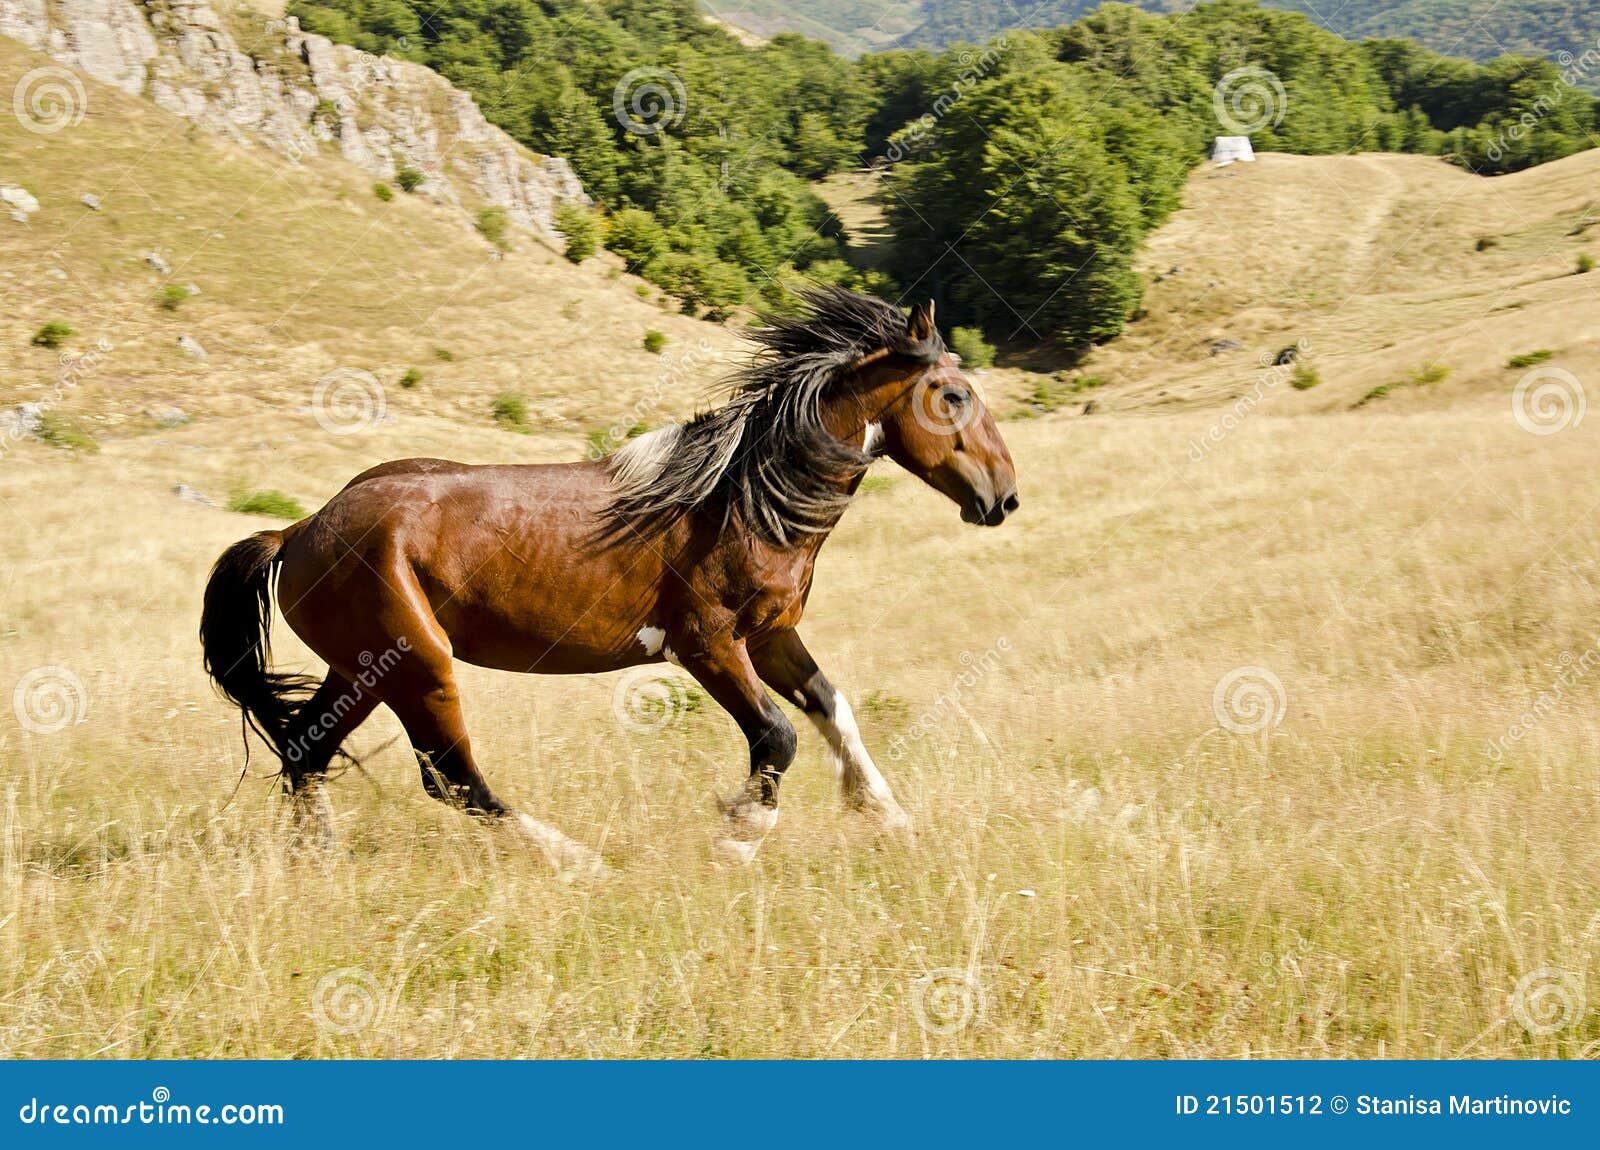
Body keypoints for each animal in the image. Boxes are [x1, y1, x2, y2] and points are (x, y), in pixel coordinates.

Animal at [199, 286, 1018, 877]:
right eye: (952, 396)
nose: (1003, 498)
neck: (741, 498)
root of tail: (299, 531)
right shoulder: (706, 644)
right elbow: (777, 735)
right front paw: (738, 837)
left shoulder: (772, 636)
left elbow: (833, 709)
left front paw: (886, 816)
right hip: (416, 665)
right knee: (452, 777)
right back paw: (580, 862)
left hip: (360, 672)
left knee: (306, 750)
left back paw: (317, 859)